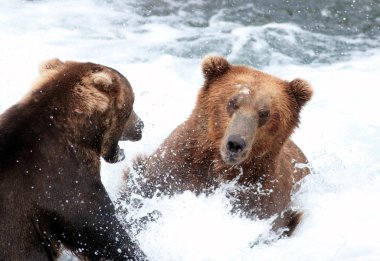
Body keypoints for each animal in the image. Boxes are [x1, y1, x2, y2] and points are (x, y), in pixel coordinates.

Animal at [126, 54, 314, 238]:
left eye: (264, 113)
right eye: (232, 102)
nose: (235, 143)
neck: (219, 167)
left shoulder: (262, 200)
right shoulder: (171, 171)